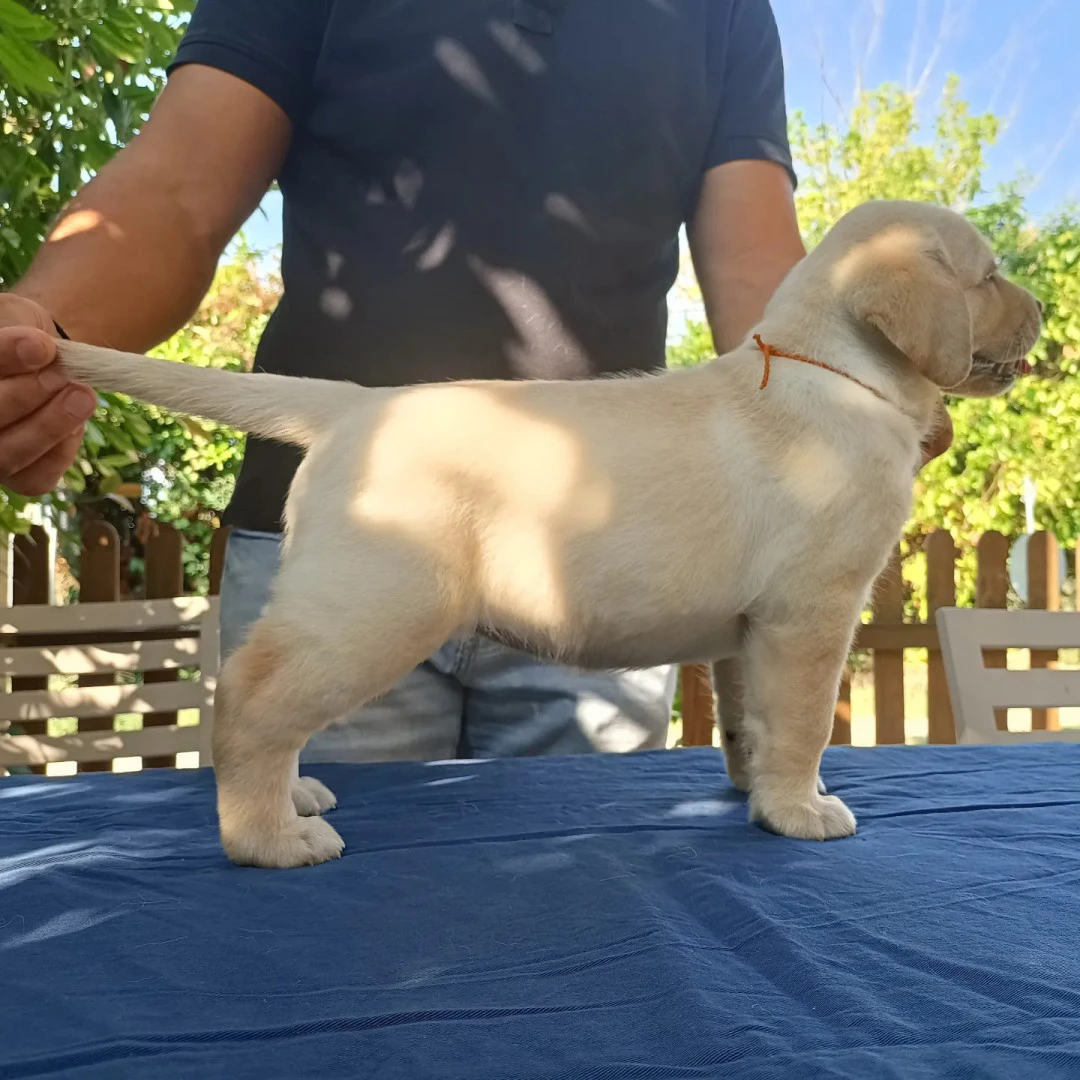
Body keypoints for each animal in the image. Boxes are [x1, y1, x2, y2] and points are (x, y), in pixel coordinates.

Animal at [56, 198, 1036, 864]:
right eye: (987, 277)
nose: (1042, 317)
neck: (833, 372)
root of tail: (350, 408)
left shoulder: (750, 630)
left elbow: (747, 720)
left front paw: (756, 791)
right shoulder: (812, 614)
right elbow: (799, 722)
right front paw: (801, 810)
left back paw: (294, 796)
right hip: (375, 606)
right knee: (251, 699)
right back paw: (267, 836)